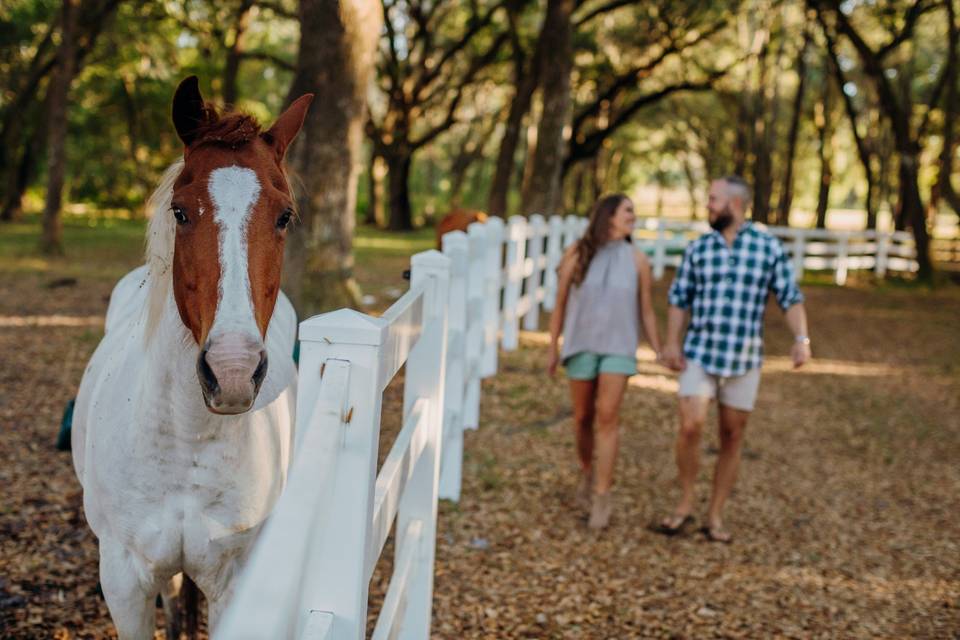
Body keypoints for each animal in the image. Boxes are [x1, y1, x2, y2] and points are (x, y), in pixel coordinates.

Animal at [75, 77, 316, 636]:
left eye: (284, 216)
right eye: (180, 211)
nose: (232, 371)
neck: (186, 440)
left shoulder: (235, 581)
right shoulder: (124, 582)